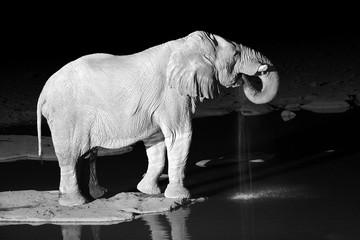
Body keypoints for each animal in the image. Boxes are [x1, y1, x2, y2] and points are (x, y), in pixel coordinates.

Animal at [36, 30, 278, 206]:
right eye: (236, 54)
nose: (247, 78)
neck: (184, 45)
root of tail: (43, 93)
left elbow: (157, 142)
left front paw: (148, 192)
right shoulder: (171, 94)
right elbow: (180, 135)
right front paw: (180, 196)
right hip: (66, 116)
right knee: (69, 155)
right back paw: (75, 203)